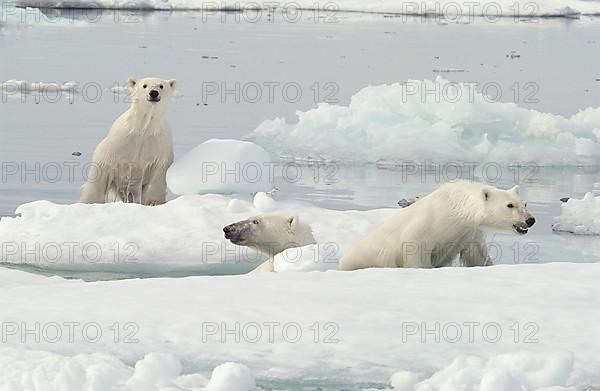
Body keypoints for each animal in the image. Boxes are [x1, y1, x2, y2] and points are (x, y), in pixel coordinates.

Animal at [79, 76, 176, 205]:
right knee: (95, 185)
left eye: (161, 86)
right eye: (144, 85)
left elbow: (158, 176)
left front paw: (154, 202)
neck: (144, 129)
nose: (153, 93)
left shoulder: (159, 145)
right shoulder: (120, 145)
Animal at [338, 181, 536, 272]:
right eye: (510, 205)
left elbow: (476, 255)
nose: (530, 220)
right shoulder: (428, 223)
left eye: (524, 204)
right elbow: (415, 246)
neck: (457, 208)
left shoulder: (470, 232)